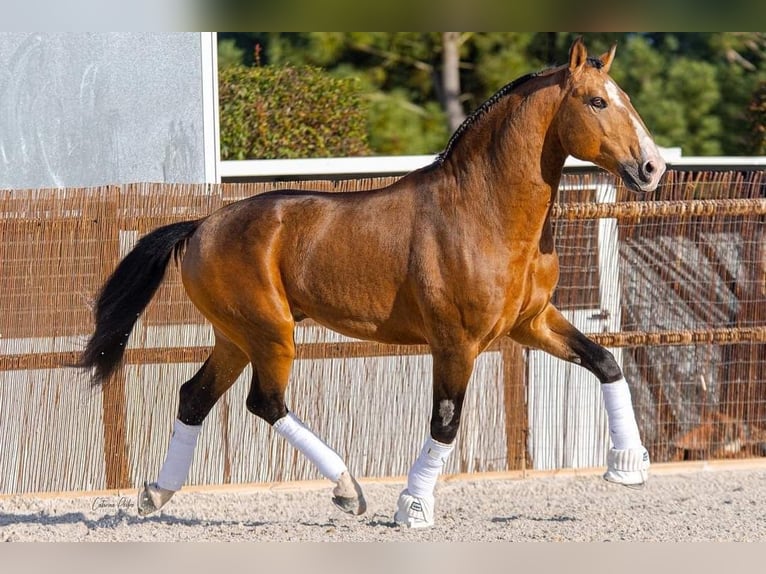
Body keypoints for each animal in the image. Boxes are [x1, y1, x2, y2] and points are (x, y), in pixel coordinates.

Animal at [76, 37, 664, 532]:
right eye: (596, 102)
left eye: (625, 98)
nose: (652, 168)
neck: (484, 212)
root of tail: (201, 226)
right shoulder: (457, 344)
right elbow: (446, 423)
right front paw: (414, 508)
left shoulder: (532, 324)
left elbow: (605, 361)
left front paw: (628, 467)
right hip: (270, 333)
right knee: (265, 403)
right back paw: (347, 490)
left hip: (236, 337)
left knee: (195, 397)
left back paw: (156, 493)